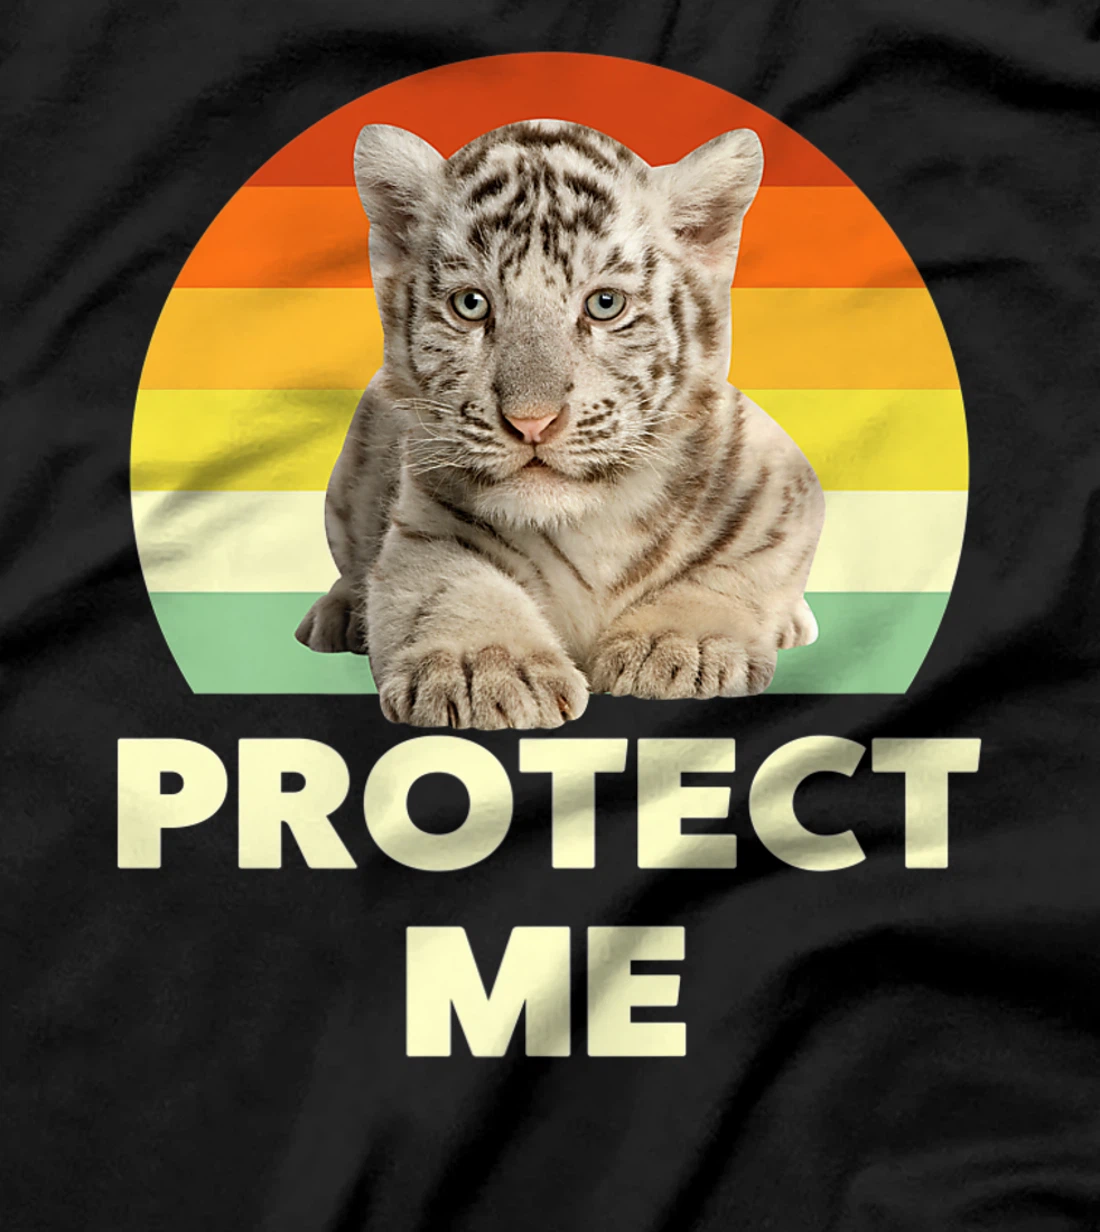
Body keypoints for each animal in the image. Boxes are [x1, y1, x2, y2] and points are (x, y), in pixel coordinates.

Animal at [295, 117, 824, 730]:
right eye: (471, 305)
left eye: (604, 304)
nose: (531, 422)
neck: (591, 518)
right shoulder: (425, 528)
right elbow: (452, 588)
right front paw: (483, 670)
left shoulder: (786, 489)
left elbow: (739, 569)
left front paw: (677, 647)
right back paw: (334, 617)